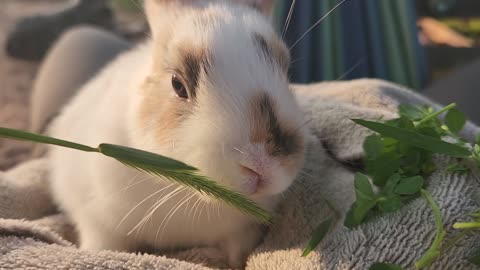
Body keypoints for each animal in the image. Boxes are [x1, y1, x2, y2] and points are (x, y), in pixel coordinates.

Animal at [47, 0, 308, 266]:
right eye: (177, 84)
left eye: (286, 70)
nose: (261, 166)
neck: (187, 194)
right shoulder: (99, 222)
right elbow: (101, 246)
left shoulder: (243, 230)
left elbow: (237, 253)